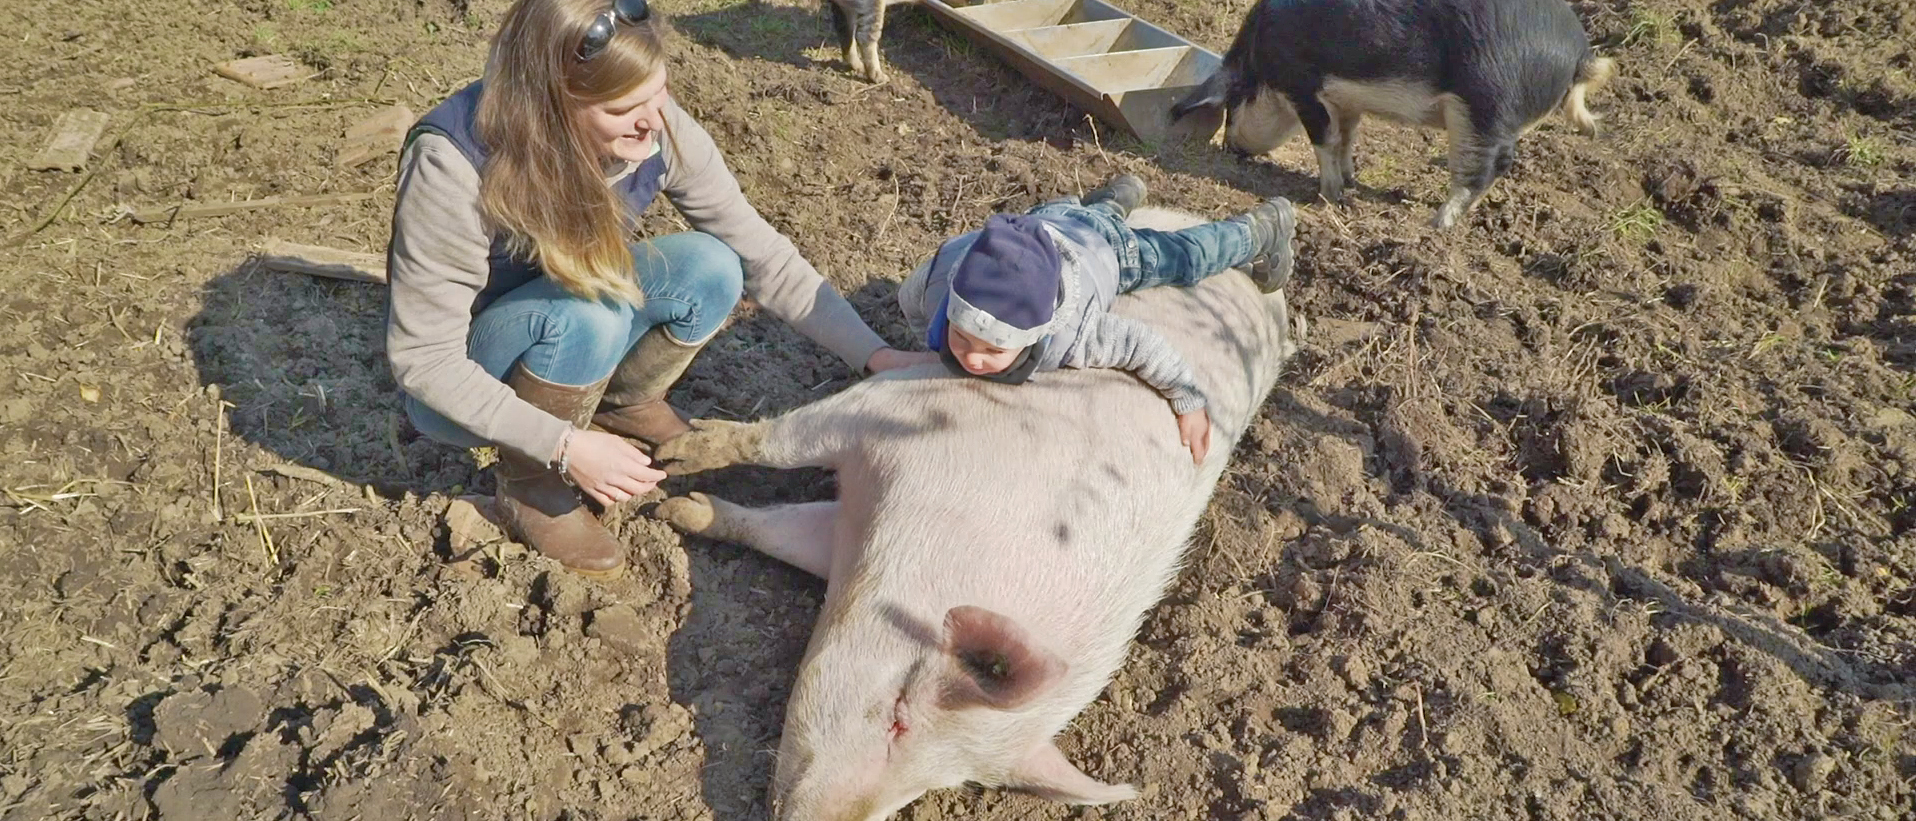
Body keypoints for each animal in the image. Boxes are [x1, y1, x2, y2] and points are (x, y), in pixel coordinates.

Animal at [651, 208, 1295, 817]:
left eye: (942, 780)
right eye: (897, 715)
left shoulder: (848, 528)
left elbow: (781, 529)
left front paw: (678, 510)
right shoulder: (900, 410)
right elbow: (780, 444)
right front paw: (673, 469)